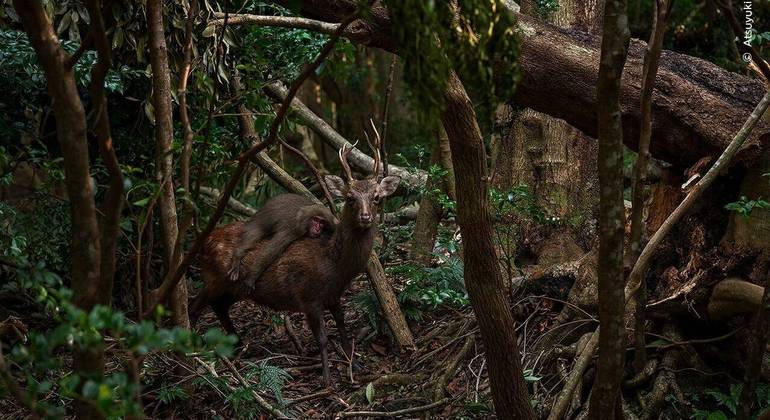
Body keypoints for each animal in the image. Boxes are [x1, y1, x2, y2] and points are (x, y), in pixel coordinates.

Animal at [189, 126, 399, 386]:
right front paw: (327, 379)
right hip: (213, 279)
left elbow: (343, 329)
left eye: (377, 197)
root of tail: (203, 242)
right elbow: (323, 338)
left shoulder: (334, 295)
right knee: (194, 306)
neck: (334, 266)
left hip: (233, 288)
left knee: (219, 306)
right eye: (350, 197)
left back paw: (237, 344)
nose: (365, 216)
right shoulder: (308, 296)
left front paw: (356, 365)